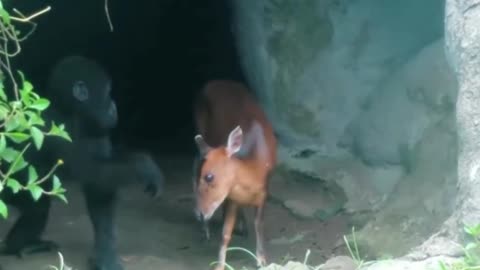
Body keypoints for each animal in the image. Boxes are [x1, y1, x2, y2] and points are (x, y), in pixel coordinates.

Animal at [0, 55, 165, 270]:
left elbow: (100, 185)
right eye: (108, 93)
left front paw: (105, 255)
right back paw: (14, 246)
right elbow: (92, 171)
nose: (114, 105)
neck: (72, 111)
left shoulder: (97, 130)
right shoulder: (60, 127)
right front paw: (143, 165)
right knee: (37, 209)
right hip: (10, 188)